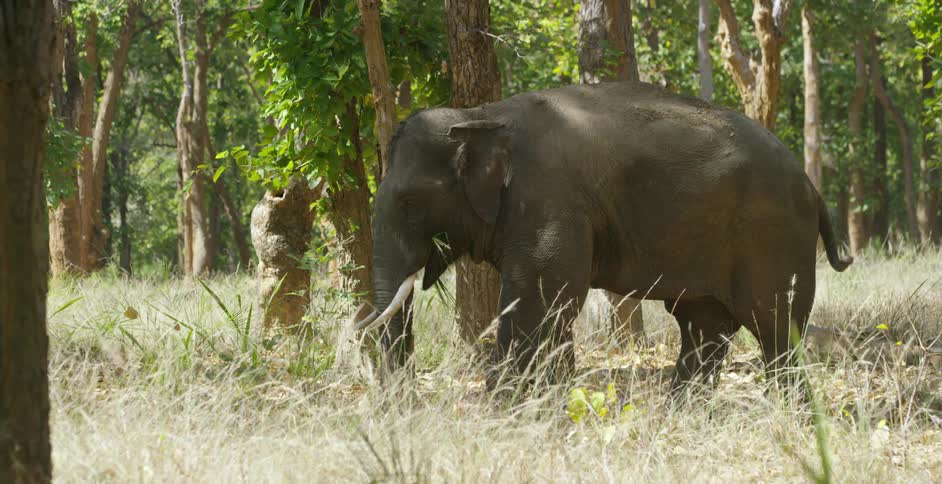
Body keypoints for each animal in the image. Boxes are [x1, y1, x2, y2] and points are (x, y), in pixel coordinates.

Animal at [353, 81, 852, 391]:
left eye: (408, 202)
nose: (404, 402)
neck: (479, 116)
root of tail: (812, 186)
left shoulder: (551, 200)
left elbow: (542, 297)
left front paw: (509, 404)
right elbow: (550, 306)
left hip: (773, 236)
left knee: (775, 329)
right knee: (704, 326)